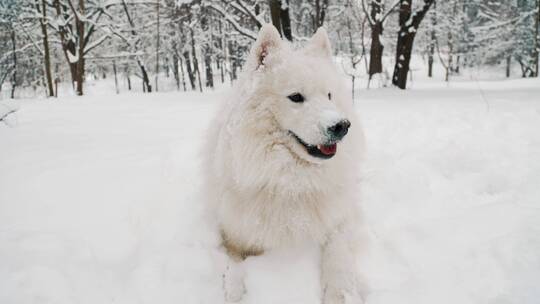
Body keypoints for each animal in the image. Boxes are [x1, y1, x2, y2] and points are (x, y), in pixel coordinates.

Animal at [205, 24, 364, 304]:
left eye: (329, 95)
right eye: (296, 97)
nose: (341, 126)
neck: (290, 180)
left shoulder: (342, 216)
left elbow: (338, 251)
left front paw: (341, 293)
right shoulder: (232, 232)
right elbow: (233, 263)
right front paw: (234, 290)